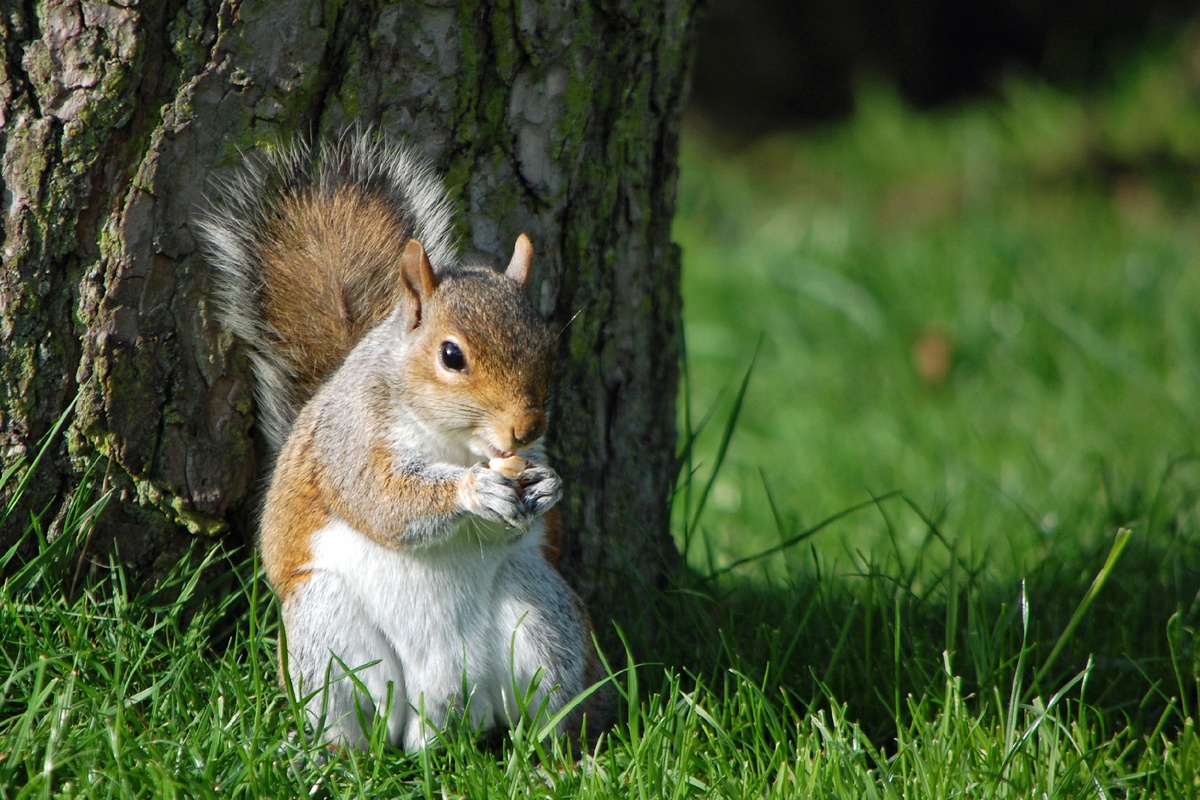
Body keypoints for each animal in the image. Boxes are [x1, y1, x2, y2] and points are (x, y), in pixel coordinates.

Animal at [201, 130, 609, 753]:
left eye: (547, 344)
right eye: (451, 355)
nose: (527, 427)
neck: (454, 443)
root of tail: (442, 707)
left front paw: (547, 486)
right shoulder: (350, 439)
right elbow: (383, 499)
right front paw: (473, 491)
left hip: (542, 611)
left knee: (545, 713)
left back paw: (559, 757)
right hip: (327, 628)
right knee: (344, 717)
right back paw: (324, 757)